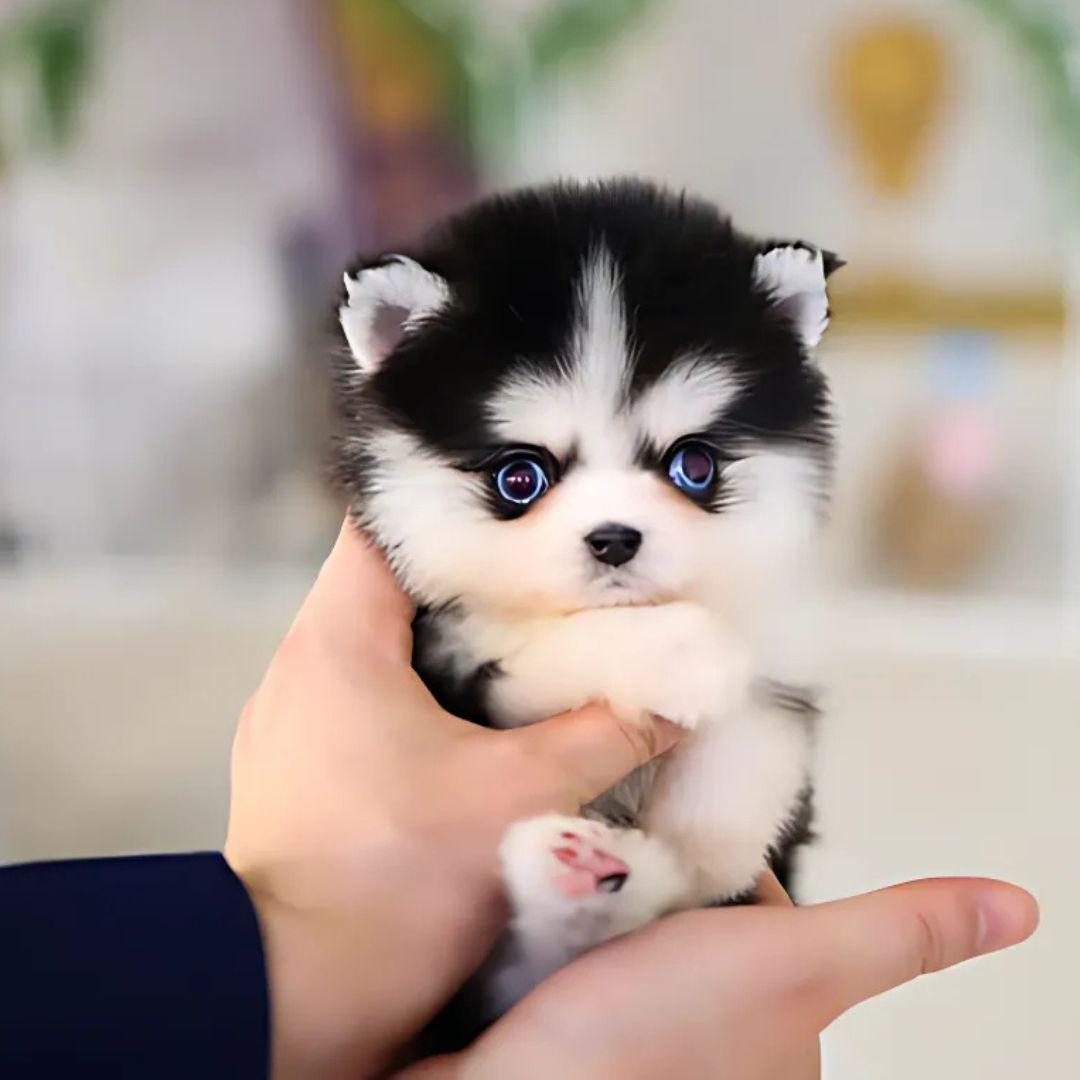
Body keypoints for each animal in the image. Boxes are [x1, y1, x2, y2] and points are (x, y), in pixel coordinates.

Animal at [332, 177, 838, 1019]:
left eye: (693, 465)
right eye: (520, 477)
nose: (614, 539)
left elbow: (736, 784)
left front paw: (688, 841)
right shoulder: (448, 660)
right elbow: (545, 648)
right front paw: (680, 649)